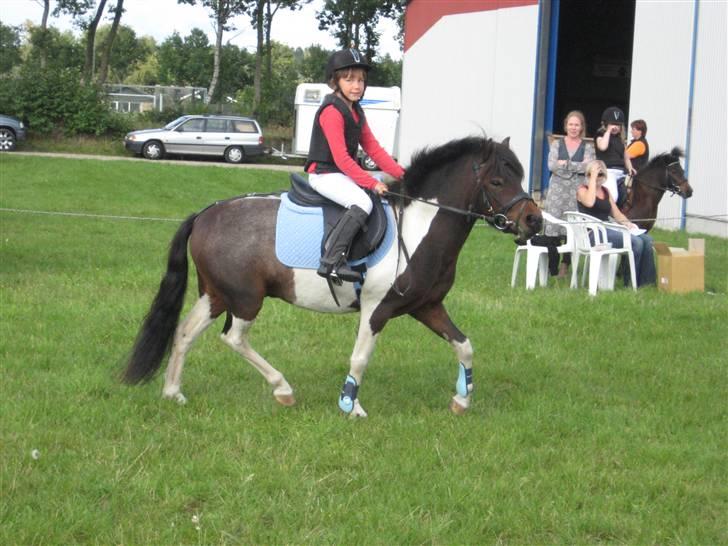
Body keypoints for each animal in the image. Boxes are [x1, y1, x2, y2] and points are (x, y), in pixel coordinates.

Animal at [121, 135, 540, 412]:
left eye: (519, 176)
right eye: (498, 181)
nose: (534, 221)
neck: (420, 226)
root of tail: (206, 213)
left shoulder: (428, 306)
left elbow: (464, 345)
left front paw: (461, 399)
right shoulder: (376, 309)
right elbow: (360, 358)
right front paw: (350, 405)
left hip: (216, 295)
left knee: (185, 333)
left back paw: (173, 392)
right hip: (245, 298)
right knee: (234, 338)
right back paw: (282, 388)